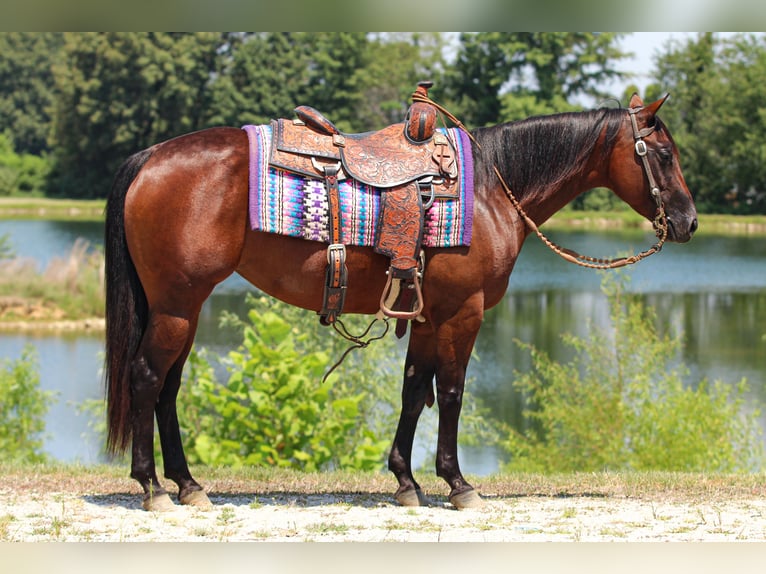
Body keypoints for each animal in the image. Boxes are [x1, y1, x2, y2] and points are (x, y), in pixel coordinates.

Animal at [104, 93, 697, 511]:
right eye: (664, 154)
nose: (689, 222)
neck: (491, 192)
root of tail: (151, 156)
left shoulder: (430, 316)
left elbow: (415, 392)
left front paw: (406, 481)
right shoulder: (463, 313)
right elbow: (452, 393)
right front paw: (458, 483)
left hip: (183, 307)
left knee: (167, 388)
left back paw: (188, 484)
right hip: (177, 305)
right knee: (147, 378)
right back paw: (153, 487)